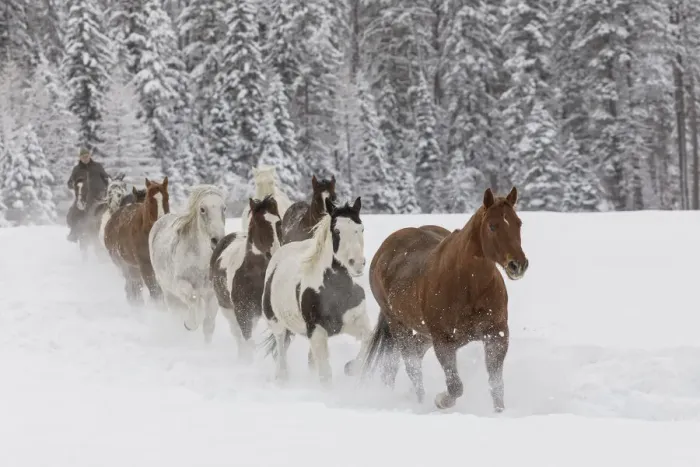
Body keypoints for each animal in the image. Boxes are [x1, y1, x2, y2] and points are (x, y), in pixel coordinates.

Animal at [149, 185, 226, 342]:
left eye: (224, 208)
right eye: (202, 209)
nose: (217, 240)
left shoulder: (211, 293)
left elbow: (208, 325)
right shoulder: (181, 284)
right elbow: (193, 300)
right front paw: (189, 324)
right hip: (168, 291)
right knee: (176, 312)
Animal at [210, 196, 282, 360]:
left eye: (279, 222)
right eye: (259, 222)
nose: (275, 252)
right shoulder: (243, 312)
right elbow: (247, 339)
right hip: (226, 308)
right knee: (237, 335)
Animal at [261, 197, 370, 386]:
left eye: (361, 228)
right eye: (337, 230)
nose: (357, 263)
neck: (335, 291)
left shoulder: (354, 320)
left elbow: (368, 338)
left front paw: (350, 368)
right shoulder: (316, 330)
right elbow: (326, 374)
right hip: (276, 322)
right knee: (281, 346)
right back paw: (282, 377)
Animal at [359, 187, 529, 412]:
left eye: (518, 223)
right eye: (492, 225)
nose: (517, 265)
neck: (469, 286)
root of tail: (383, 251)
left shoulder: (497, 334)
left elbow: (496, 385)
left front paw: (498, 413)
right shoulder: (443, 340)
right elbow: (455, 386)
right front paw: (441, 400)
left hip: (423, 333)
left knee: (406, 359)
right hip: (399, 325)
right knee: (412, 366)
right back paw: (418, 401)